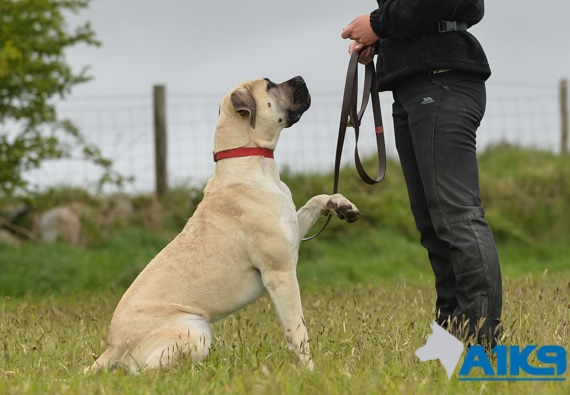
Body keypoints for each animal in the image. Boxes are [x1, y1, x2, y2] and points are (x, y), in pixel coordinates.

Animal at [87, 76, 360, 374]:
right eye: (270, 85)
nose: (300, 78)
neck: (251, 161)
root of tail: (112, 347)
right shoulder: (281, 274)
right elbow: (297, 330)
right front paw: (310, 371)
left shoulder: (292, 230)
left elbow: (315, 200)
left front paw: (340, 204)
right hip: (195, 327)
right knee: (141, 372)